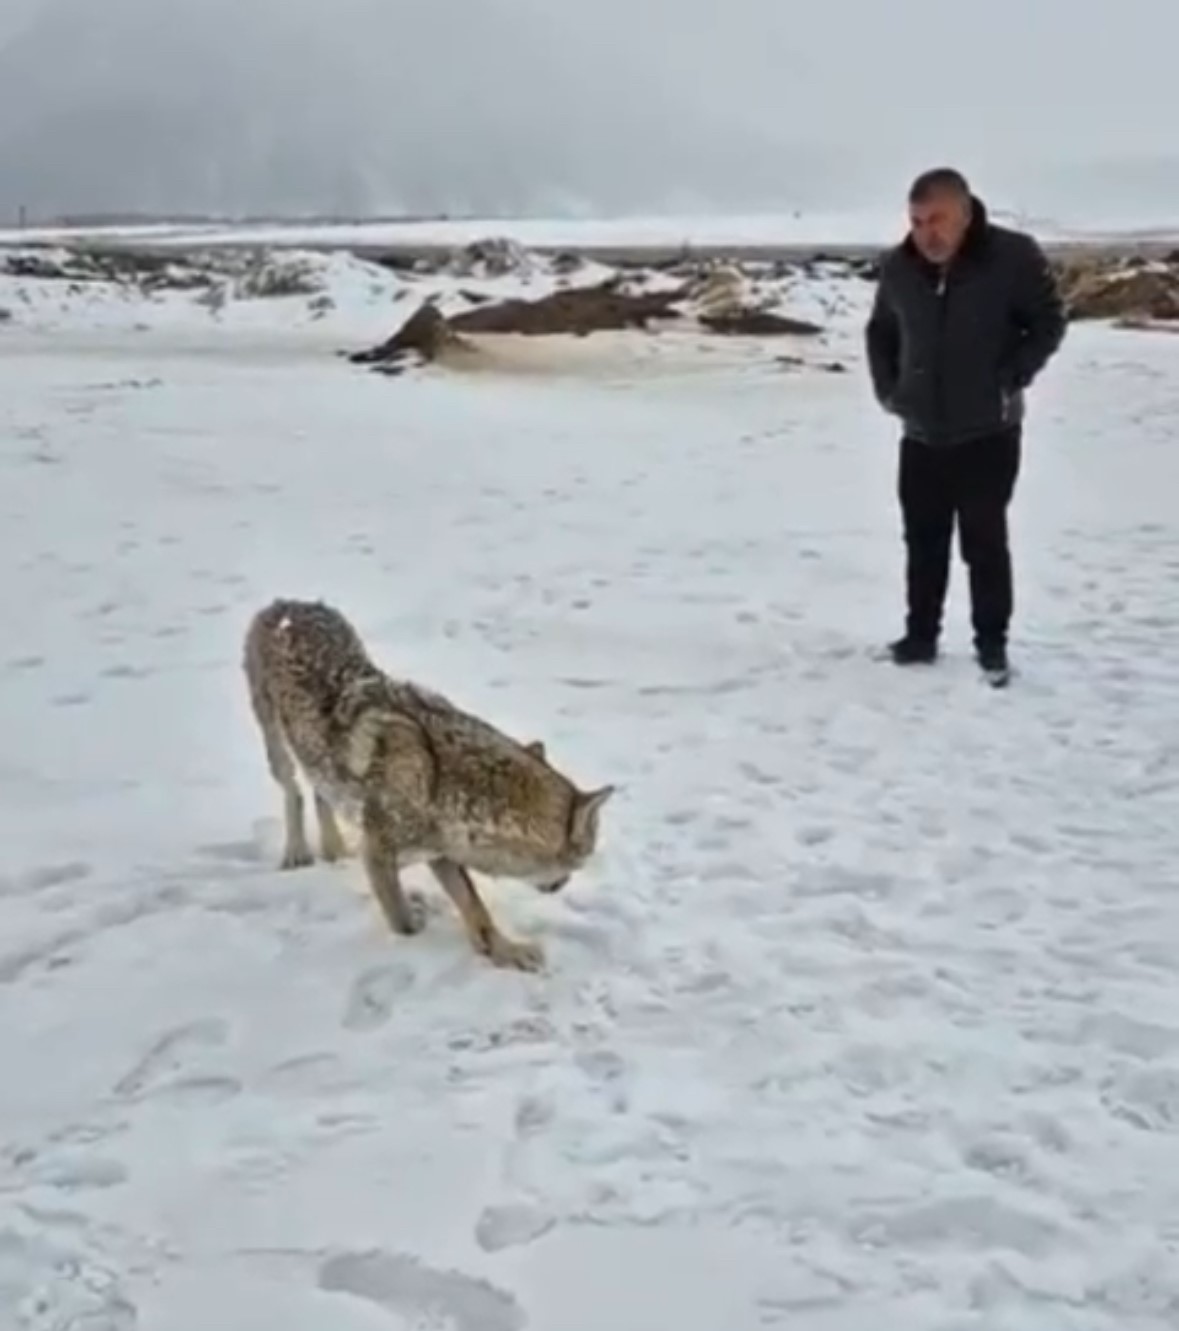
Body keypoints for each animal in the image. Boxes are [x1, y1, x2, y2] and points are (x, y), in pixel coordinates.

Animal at [236, 601, 614, 968]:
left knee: (319, 795)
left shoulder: (440, 853)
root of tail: (285, 604)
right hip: (277, 747)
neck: (440, 782)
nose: (563, 885)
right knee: (293, 791)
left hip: (317, 757)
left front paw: (506, 952)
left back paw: (334, 851)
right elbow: (403, 922)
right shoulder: (378, 855)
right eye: (581, 861)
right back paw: (297, 852)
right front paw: (415, 937)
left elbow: (476, 909)